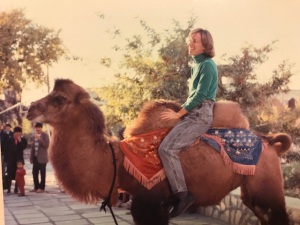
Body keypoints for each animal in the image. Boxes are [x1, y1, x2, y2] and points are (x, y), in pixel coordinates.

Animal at [26, 79, 290, 225]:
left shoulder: (151, 202)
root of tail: (270, 142)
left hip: (269, 187)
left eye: (59, 99)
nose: (30, 108)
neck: (116, 160)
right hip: (251, 191)